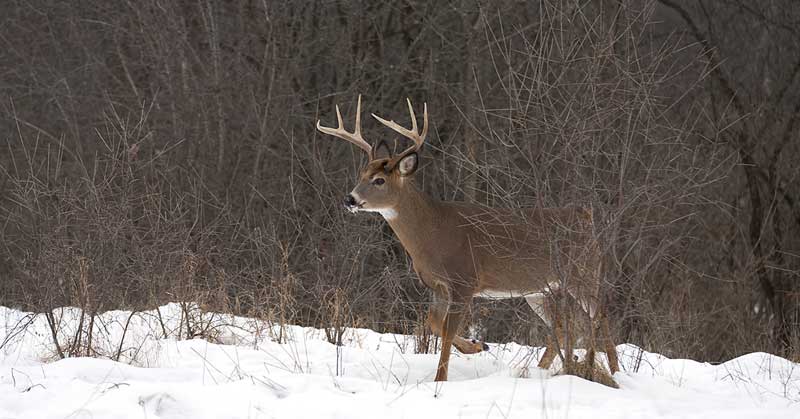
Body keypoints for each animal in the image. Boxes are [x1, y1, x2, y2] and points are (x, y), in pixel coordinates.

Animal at [316, 96, 620, 384]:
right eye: (362, 174)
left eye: (379, 180)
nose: (349, 199)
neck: (433, 234)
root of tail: (585, 215)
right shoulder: (438, 285)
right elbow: (434, 323)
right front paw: (477, 345)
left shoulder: (465, 280)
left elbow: (448, 331)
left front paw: (440, 380)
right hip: (538, 288)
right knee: (561, 324)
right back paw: (545, 369)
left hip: (583, 271)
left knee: (600, 315)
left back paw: (611, 371)